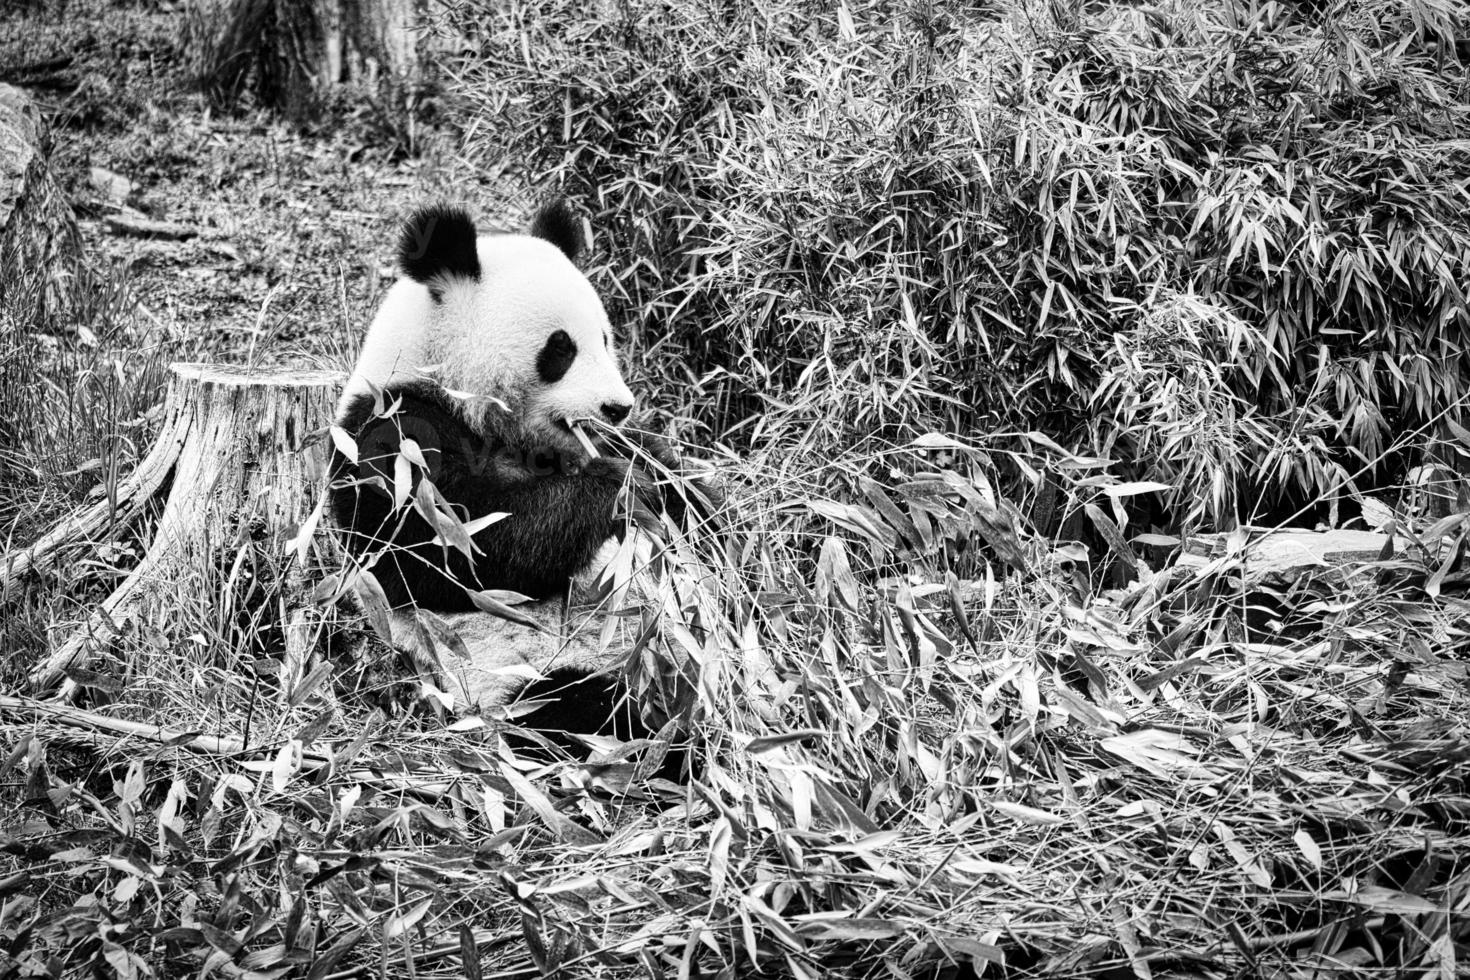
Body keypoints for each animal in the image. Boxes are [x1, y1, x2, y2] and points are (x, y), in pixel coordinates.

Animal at [330, 201, 702, 743]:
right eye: (560, 348)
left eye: (605, 338)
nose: (618, 408)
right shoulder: (392, 437)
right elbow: (459, 549)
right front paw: (622, 487)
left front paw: (662, 474)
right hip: (526, 675)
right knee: (579, 715)